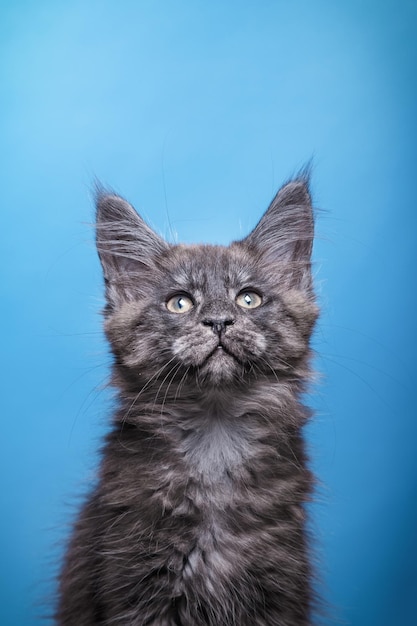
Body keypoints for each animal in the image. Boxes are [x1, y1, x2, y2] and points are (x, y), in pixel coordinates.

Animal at [56, 176, 318, 624]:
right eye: (180, 303)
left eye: (249, 298)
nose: (218, 321)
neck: (215, 433)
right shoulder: (135, 580)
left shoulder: (279, 579)